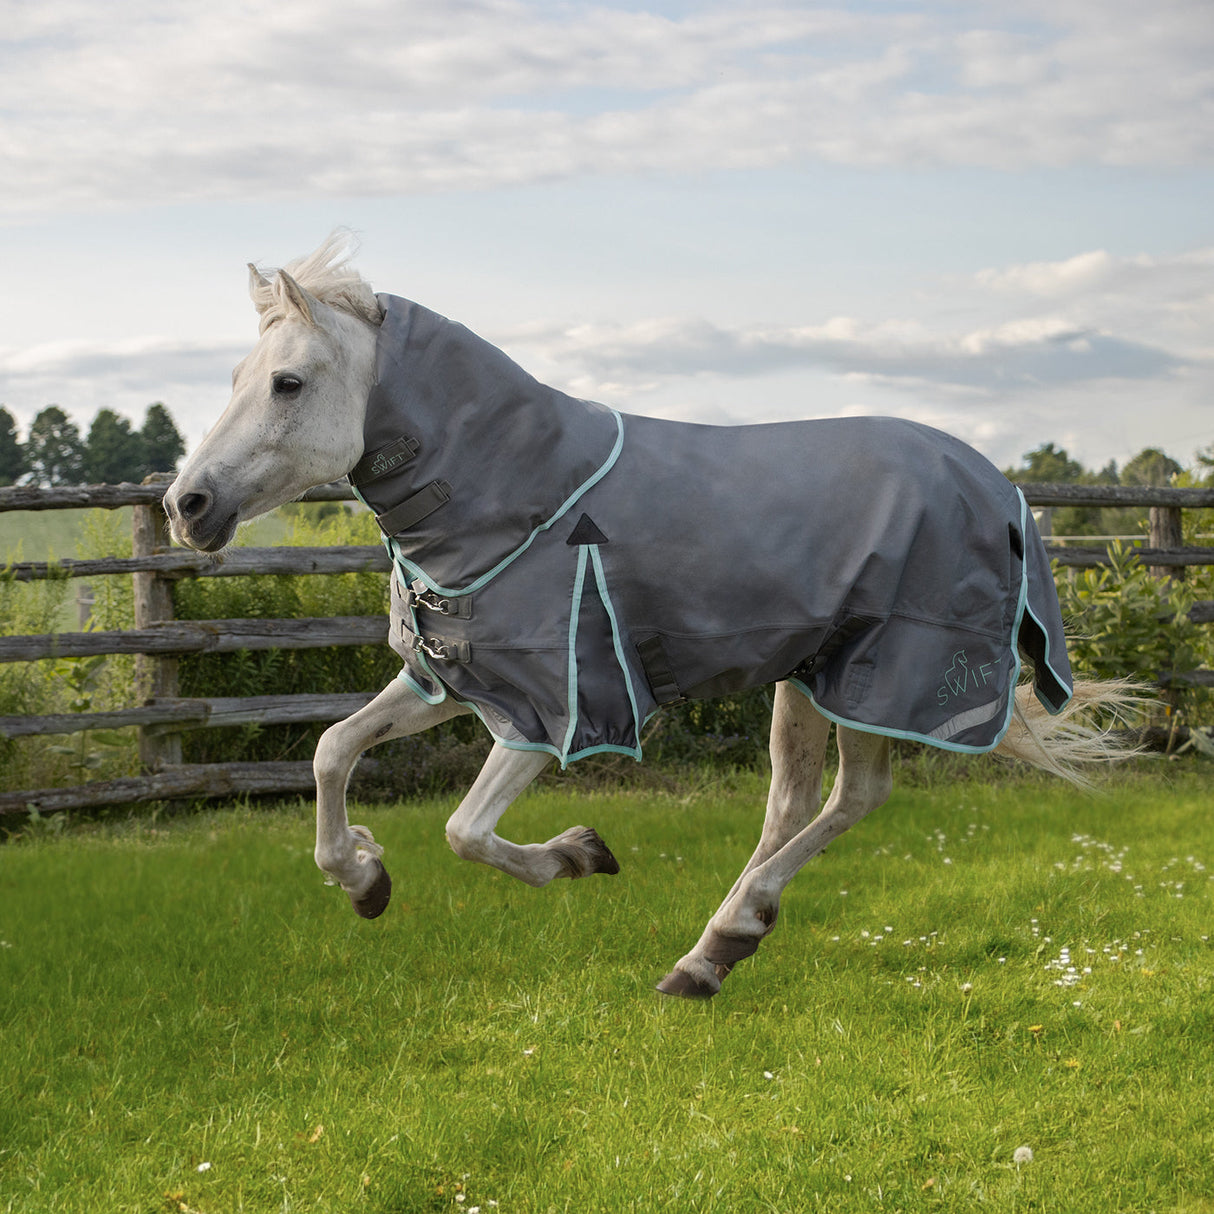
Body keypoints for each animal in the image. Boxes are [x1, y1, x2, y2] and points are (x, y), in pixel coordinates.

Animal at [164, 234, 1135, 1000]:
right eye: (241, 375)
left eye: (288, 382)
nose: (187, 505)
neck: (522, 493)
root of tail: (1001, 488)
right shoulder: (452, 675)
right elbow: (332, 750)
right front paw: (363, 875)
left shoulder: (549, 708)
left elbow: (465, 830)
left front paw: (575, 855)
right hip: (809, 676)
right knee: (793, 800)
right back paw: (714, 950)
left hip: (877, 677)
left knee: (853, 796)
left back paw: (720, 942)